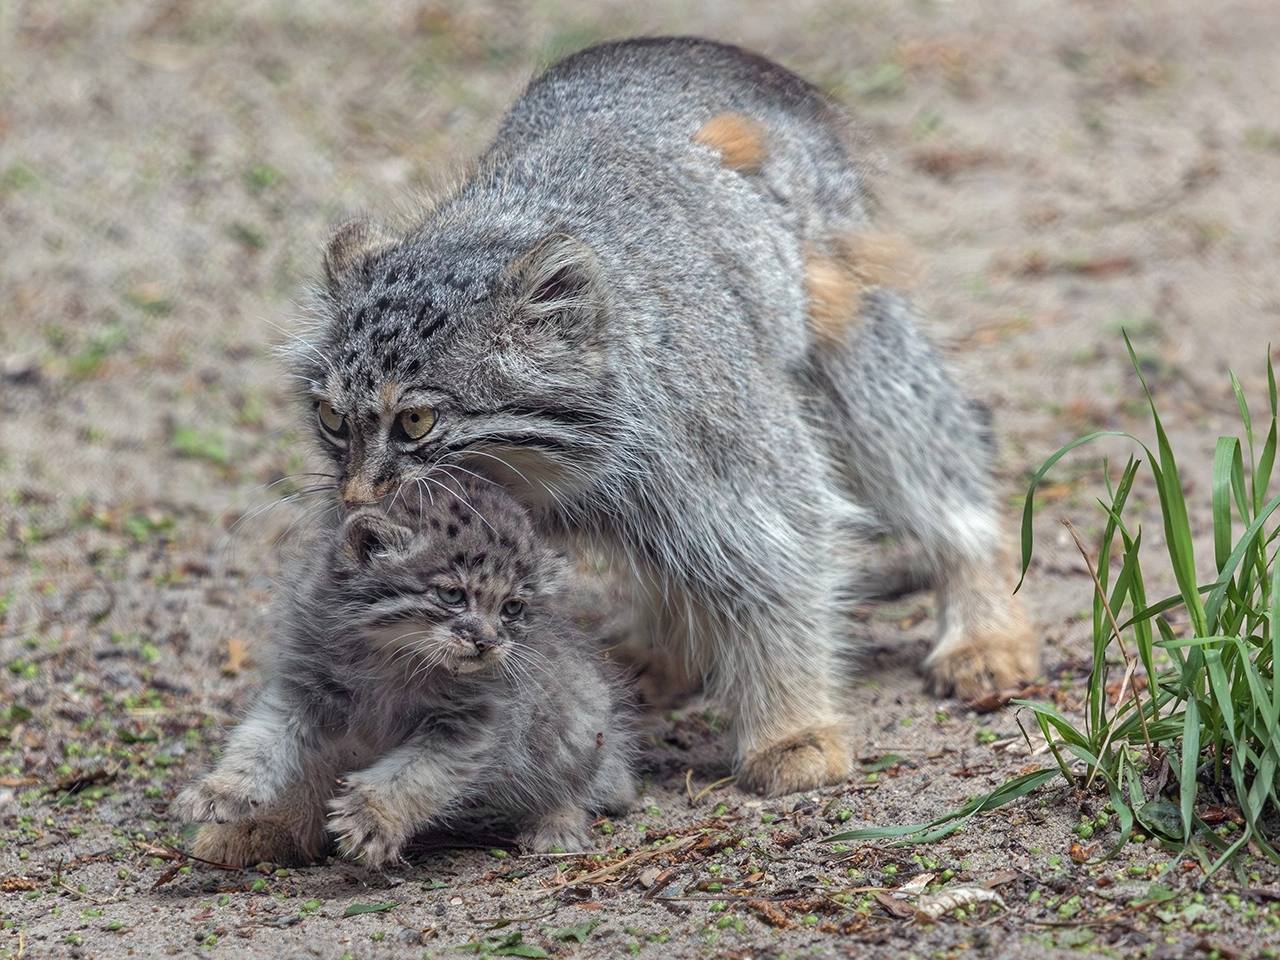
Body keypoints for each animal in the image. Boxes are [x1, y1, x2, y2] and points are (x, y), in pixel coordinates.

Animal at [171, 478, 634, 870]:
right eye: (453, 595)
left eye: (512, 608)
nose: (487, 642)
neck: (392, 659)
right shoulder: (303, 688)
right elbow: (260, 740)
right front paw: (222, 789)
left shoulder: (469, 724)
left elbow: (415, 776)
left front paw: (371, 818)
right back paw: (254, 832)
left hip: (578, 723)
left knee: (585, 781)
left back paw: (558, 824)